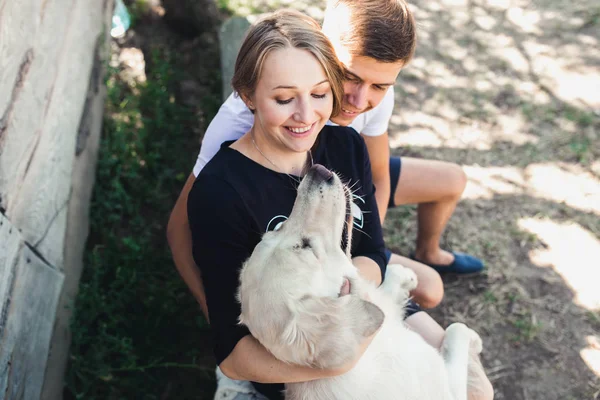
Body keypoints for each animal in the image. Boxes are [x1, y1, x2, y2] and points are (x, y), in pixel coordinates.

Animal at [237, 164, 486, 398]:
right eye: (306, 246)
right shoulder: (446, 387)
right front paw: (474, 338)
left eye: (277, 229)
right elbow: (456, 330)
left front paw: (404, 276)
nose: (318, 170)